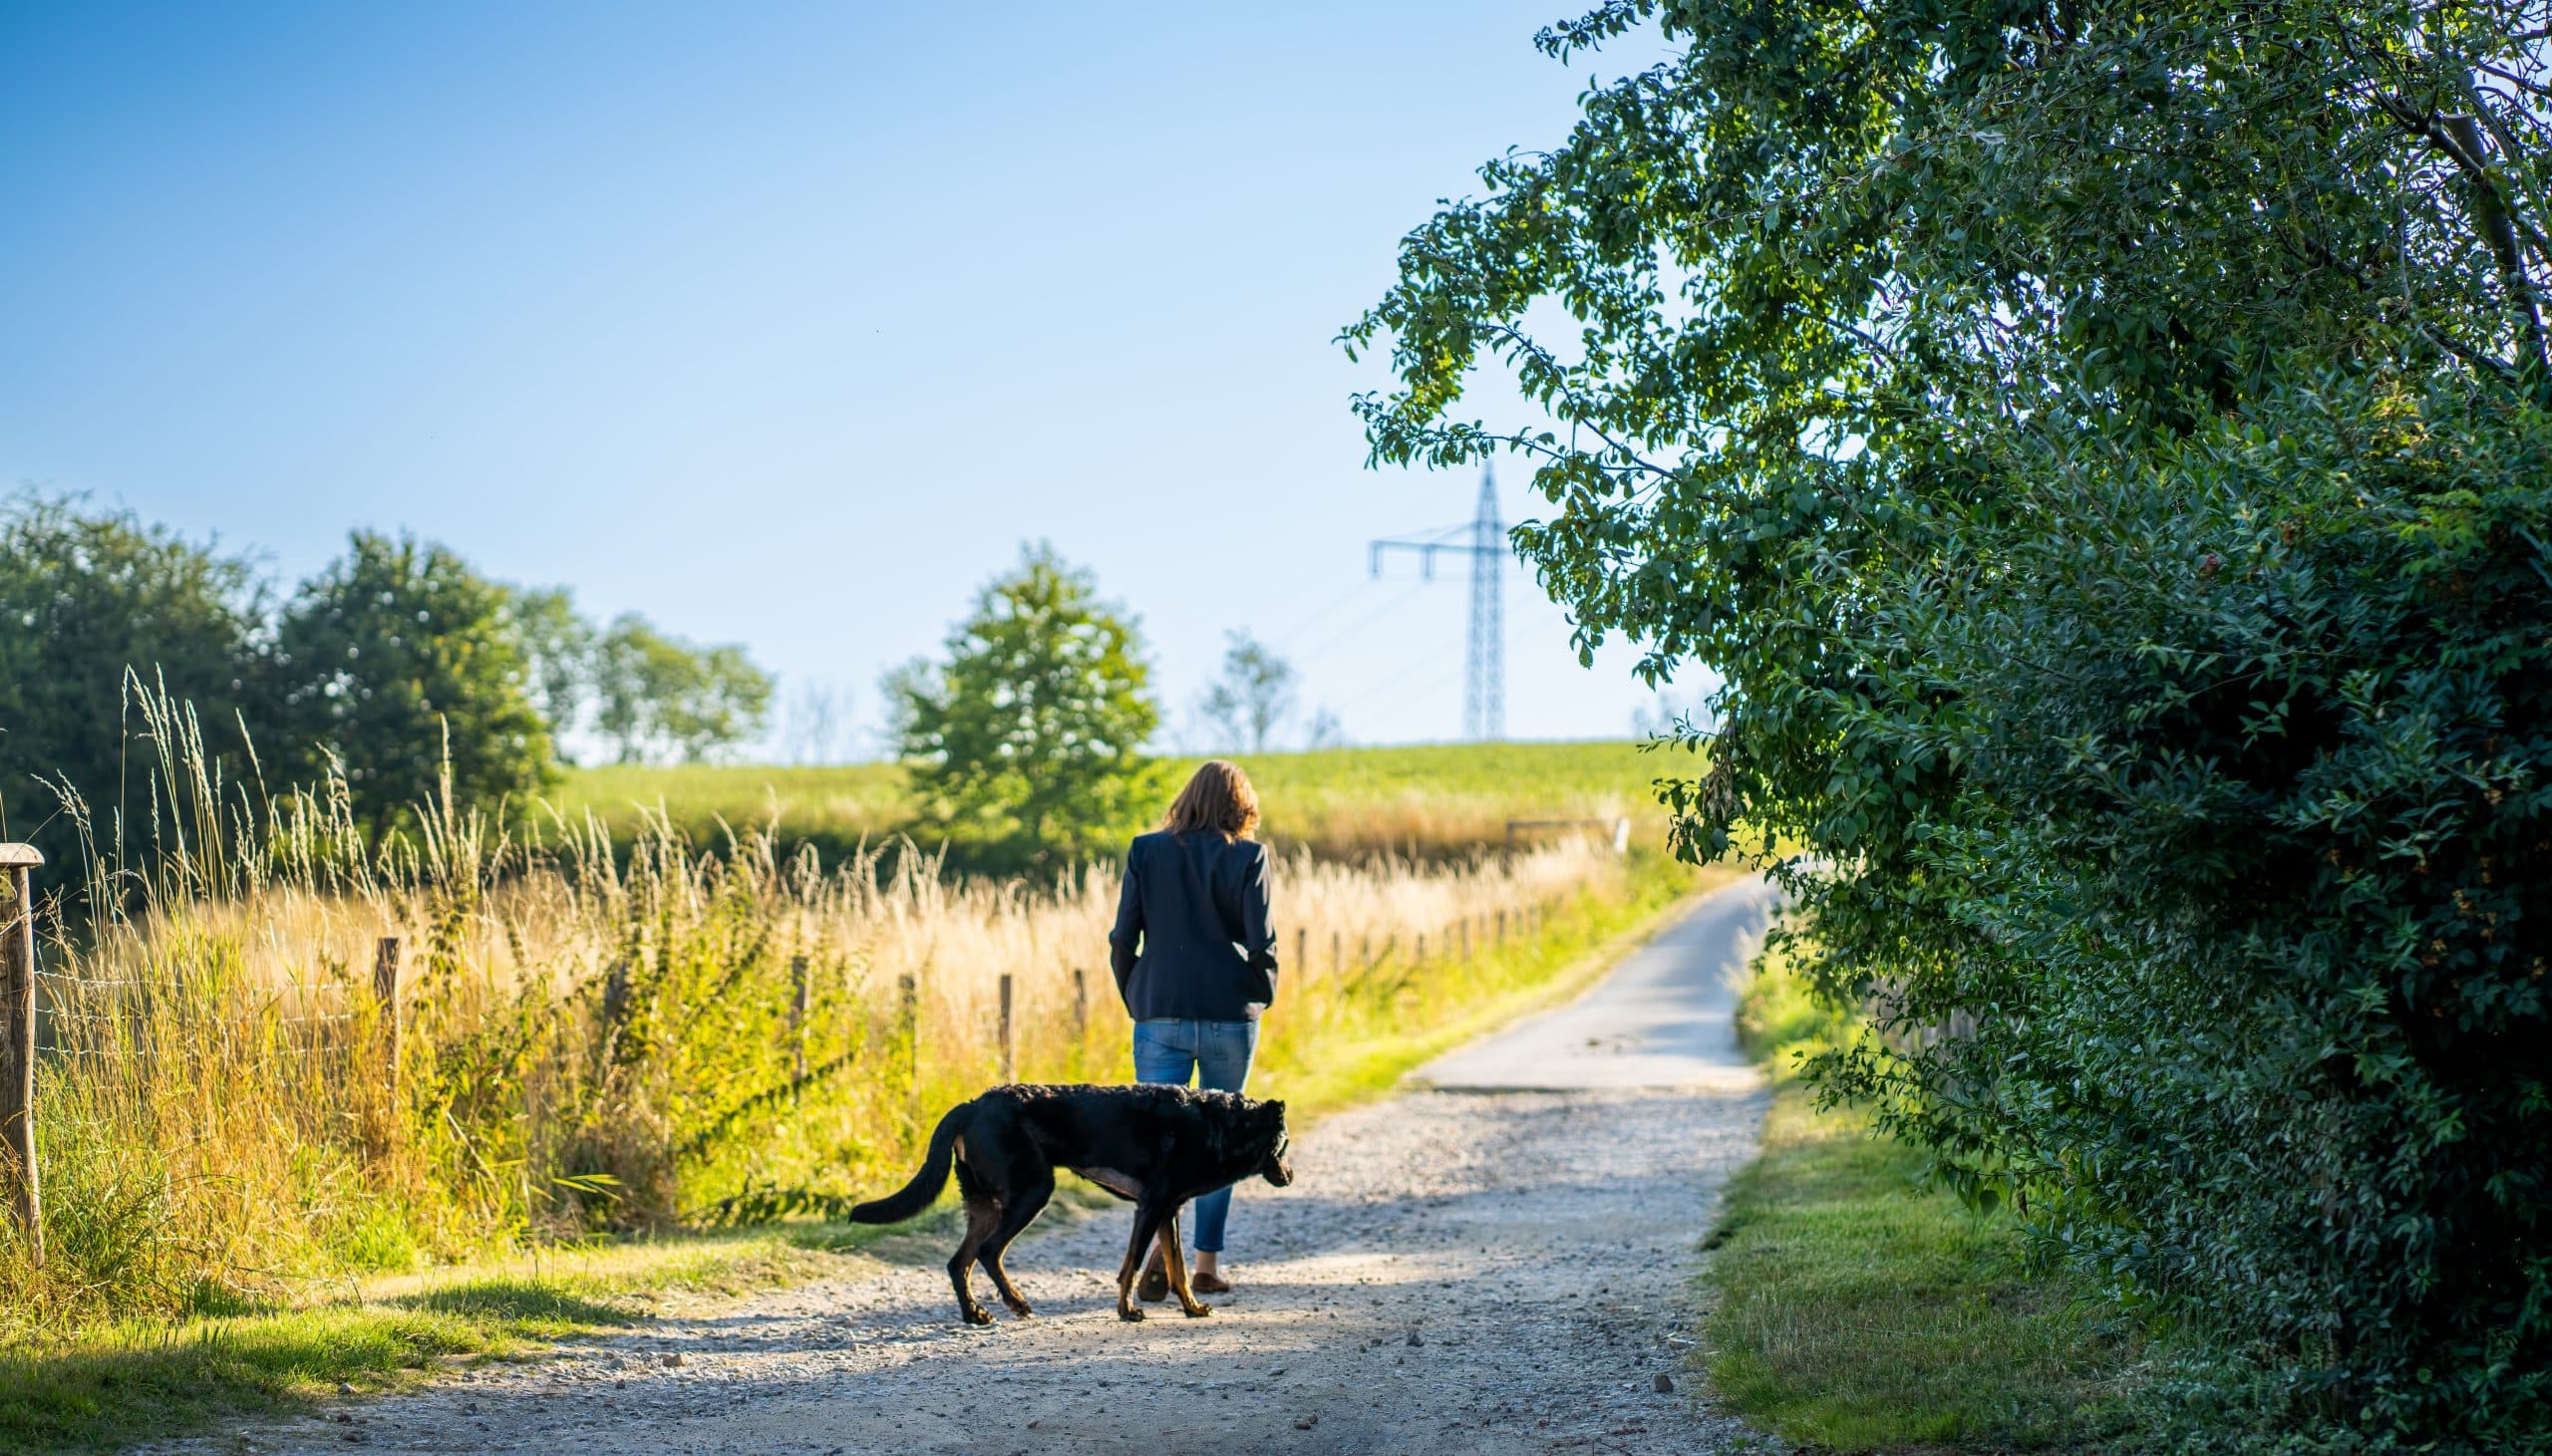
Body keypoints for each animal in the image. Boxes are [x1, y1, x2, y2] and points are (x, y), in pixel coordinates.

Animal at [852, 1085, 1296, 1325]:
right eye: (1285, 1144)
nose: (1291, 1176)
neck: (1220, 1124)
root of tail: (972, 1105)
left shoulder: (1167, 1211)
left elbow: (1179, 1269)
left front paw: (1191, 1308)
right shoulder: (1151, 1207)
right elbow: (1132, 1265)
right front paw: (1127, 1311)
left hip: (986, 1204)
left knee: (958, 1262)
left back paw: (975, 1314)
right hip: (1032, 1192)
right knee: (988, 1252)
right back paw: (1017, 1303)